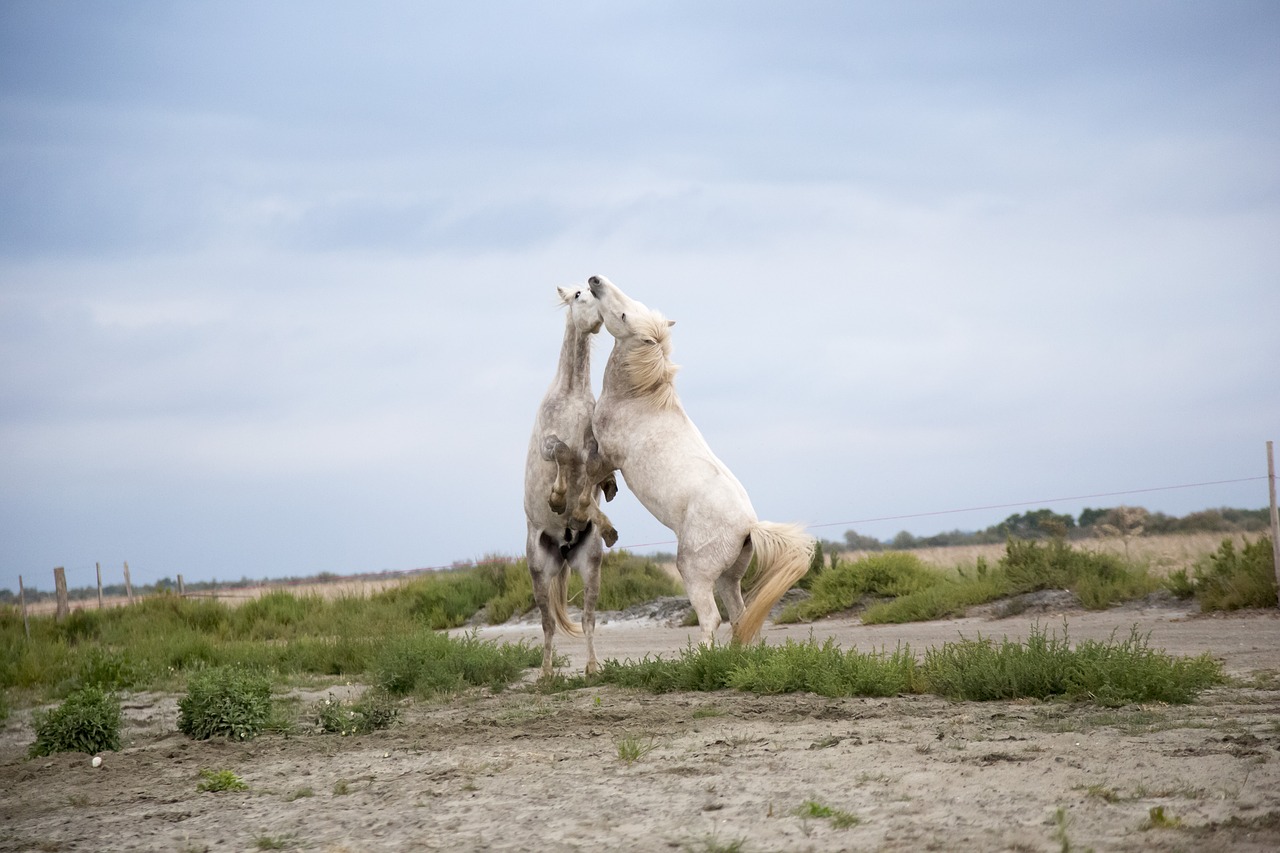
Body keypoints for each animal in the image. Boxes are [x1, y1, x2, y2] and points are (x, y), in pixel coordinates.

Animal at [586, 275, 814, 640]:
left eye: (623, 315)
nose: (595, 280)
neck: (638, 399)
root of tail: (748, 526)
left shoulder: (606, 455)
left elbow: (583, 476)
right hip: (729, 577)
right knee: (740, 615)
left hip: (694, 571)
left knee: (711, 618)